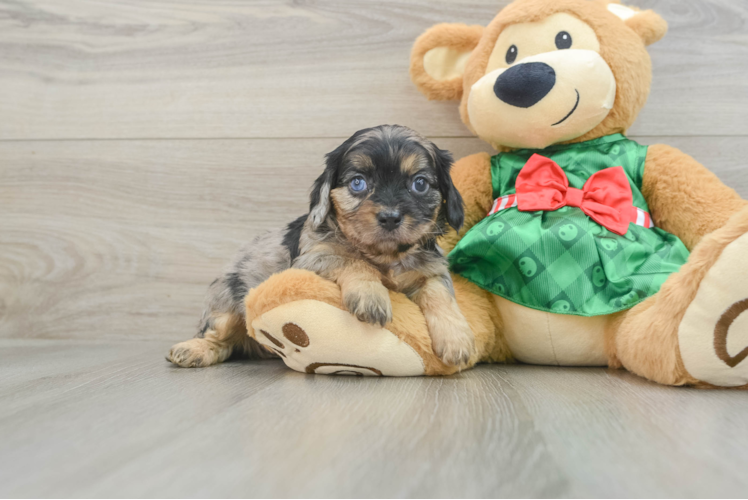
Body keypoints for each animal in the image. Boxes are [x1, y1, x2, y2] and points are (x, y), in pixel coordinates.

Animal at [167, 124, 476, 368]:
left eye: (420, 184)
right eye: (358, 183)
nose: (390, 217)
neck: (384, 255)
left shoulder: (431, 270)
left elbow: (440, 293)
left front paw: (457, 339)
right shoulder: (312, 258)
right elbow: (353, 261)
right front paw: (371, 295)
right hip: (227, 304)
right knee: (218, 337)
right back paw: (193, 349)